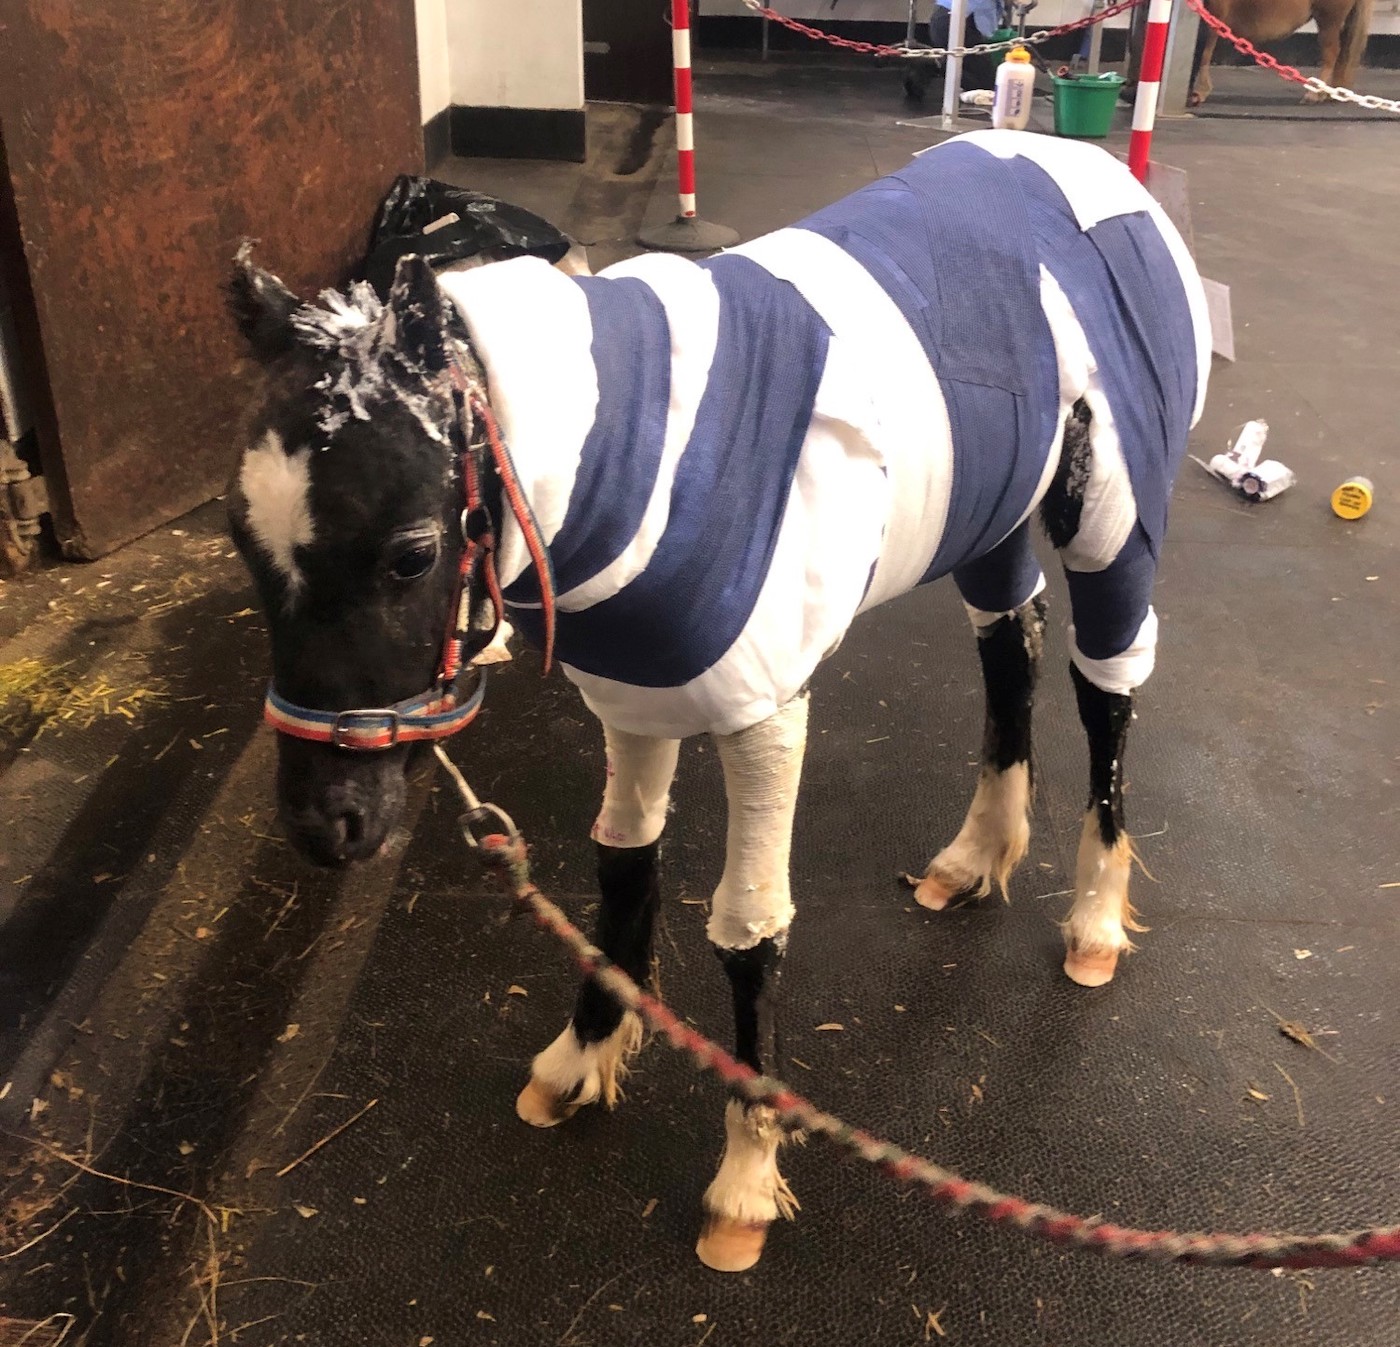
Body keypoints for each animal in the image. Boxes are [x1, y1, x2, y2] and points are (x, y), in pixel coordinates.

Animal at [226, 130, 1210, 1274]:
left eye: (411, 554)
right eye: (240, 539)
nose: (325, 824)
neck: (634, 455)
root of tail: (1090, 166)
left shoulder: (764, 708)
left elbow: (747, 927)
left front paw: (744, 1178)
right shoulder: (636, 693)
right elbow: (620, 862)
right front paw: (581, 1059)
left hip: (1113, 514)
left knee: (1105, 687)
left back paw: (1093, 917)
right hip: (991, 506)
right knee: (1008, 644)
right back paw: (972, 858)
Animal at [1190, 0, 1373, 105]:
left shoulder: (1214, 14)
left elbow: (1205, 52)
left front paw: (1199, 92)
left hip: (1329, 19)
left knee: (1332, 53)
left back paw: (1314, 95)